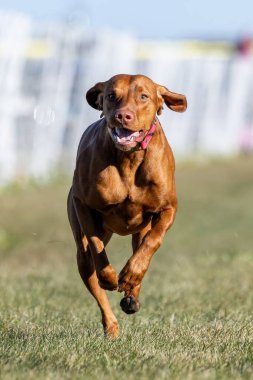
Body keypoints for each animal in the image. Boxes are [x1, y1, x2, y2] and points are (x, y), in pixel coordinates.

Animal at [67, 73, 186, 336]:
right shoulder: (82, 203)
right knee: (91, 270)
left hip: (139, 229)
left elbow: (153, 241)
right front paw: (109, 277)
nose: (123, 116)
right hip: (82, 248)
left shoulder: (169, 208)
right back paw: (111, 324)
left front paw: (132, 275)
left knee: (141, 246)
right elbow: (96, 245)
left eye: (143, 96)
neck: (129, 157)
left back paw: (132, 293)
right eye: (112, 95)